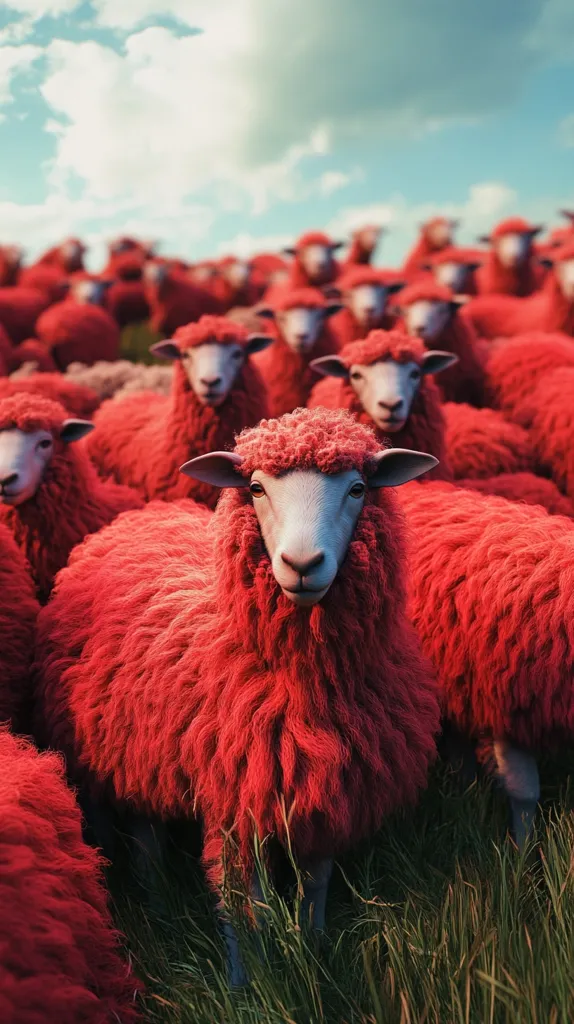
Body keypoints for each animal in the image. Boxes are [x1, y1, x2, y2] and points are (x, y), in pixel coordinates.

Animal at [35, 406, 440, 985]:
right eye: (255, 487)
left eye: (359, 487)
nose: (302, 564)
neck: (300, 684)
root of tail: (143, 512)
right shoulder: (234, 801)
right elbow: (244, 905)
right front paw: (247, 981)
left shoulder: (330, 793)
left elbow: (315, 885)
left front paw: (313, 953)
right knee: (144, 837)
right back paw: (156, 900)